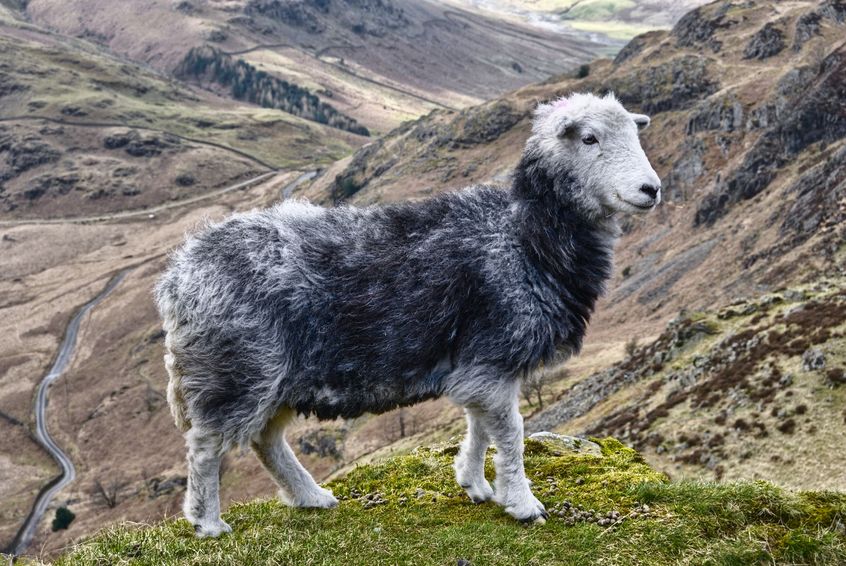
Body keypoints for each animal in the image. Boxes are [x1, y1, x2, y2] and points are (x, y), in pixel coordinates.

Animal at [156, 92, 664, 536]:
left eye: (633, 133)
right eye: (589, 139)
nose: (652, 189)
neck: (525, 237)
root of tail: (179, 275)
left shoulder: (480, 365)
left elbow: (480, 427)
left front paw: (475, 483)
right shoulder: (493, 354)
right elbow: (511, 434)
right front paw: (522, 503)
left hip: (275, 378)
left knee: (266, 440)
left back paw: (310, 497)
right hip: (238, 370)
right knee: (206, 447)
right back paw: (207, 522)